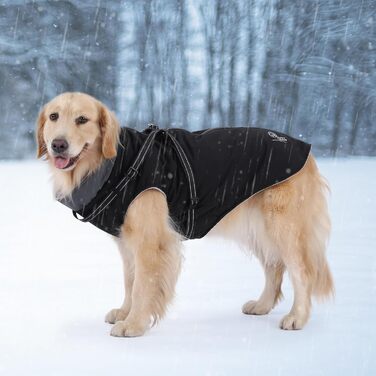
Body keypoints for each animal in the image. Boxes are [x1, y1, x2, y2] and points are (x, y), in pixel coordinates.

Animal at [36, 92, 334, 338]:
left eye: (82, 119)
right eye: (54, 116)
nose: (58, 144)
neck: (113, 164)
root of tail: (306, 150)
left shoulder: (151, 240)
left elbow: (143, 283)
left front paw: (134, 324)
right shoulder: (126, 240)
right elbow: (130, 280)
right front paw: (125, 312)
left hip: (284, 226)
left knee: (302, 272)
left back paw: (297, 317)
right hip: (258, 227)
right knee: (275, 267)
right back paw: (261, 305)